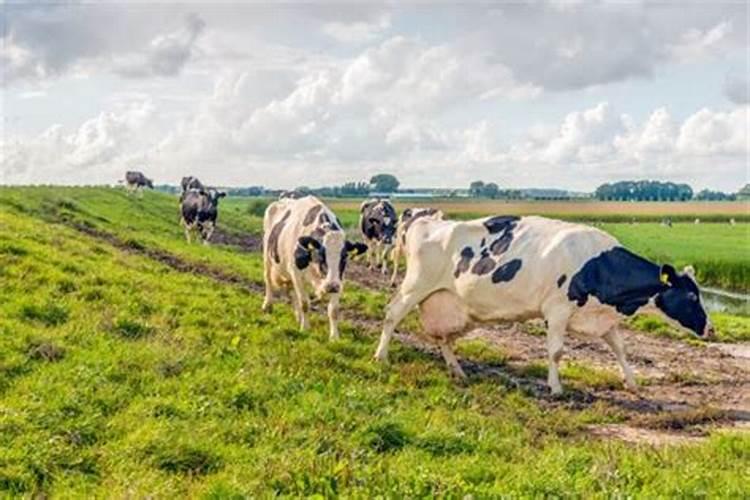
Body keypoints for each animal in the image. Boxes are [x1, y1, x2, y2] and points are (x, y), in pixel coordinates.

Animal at [264, 195, 370, 340]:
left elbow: (334, 310)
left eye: (344, 257)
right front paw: (305, 328)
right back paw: (267, 306)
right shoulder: (296, 273)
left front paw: (334, 336)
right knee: (268, 280)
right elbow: (304, 303)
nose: (331, 286)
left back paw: (297, 317)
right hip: (267, 256)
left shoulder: (339, 279)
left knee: (292, 292)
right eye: (321, 255)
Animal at [376, 215, 716, 394]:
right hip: (416, 286)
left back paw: (457, 371)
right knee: (392, 314)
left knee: (443, 337)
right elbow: (556, 352)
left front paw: (632, 383)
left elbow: (620, 349)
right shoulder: (557, 310)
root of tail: (427, 220)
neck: (597, 264)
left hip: (454, 306)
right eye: (691, 296)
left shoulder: (602, 318)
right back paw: (381, 357)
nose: (711, 330)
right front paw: (555, 387)